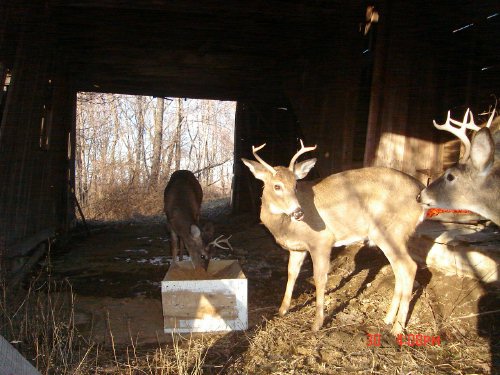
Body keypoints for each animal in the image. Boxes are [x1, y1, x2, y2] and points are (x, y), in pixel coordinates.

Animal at [242, 141, 426, 334]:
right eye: (277, 186)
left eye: (296, 185)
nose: (298, 212)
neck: (285, 228)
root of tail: (420, 190)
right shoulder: (297, 248)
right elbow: (291, 274)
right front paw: (282, 310)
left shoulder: (321, 240)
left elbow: (320, 278)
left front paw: (317, 323)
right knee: (400, 271)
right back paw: (388, 319)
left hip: (391, 231)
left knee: (410, 266)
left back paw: (397, 328)